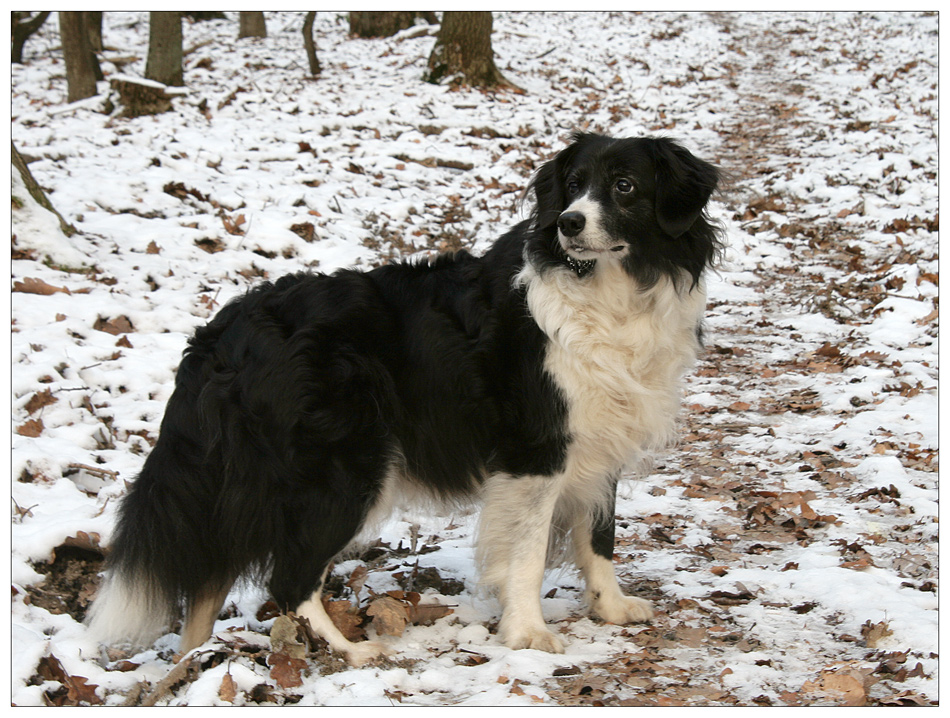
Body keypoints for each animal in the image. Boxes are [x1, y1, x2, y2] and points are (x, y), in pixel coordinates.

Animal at [89, 134, 720, 668]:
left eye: (624, 186)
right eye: (572, 185)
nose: (567, 223)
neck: (609, 290)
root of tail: (222, 330)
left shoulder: (599, 436)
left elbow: (599, 536)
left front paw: (611, 607)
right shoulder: (536, 449)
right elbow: (527, 552)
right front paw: (528, 633)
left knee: (208, 576)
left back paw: (190, 663)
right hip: (345, 470)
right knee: (288, 580)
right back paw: (350, 650)